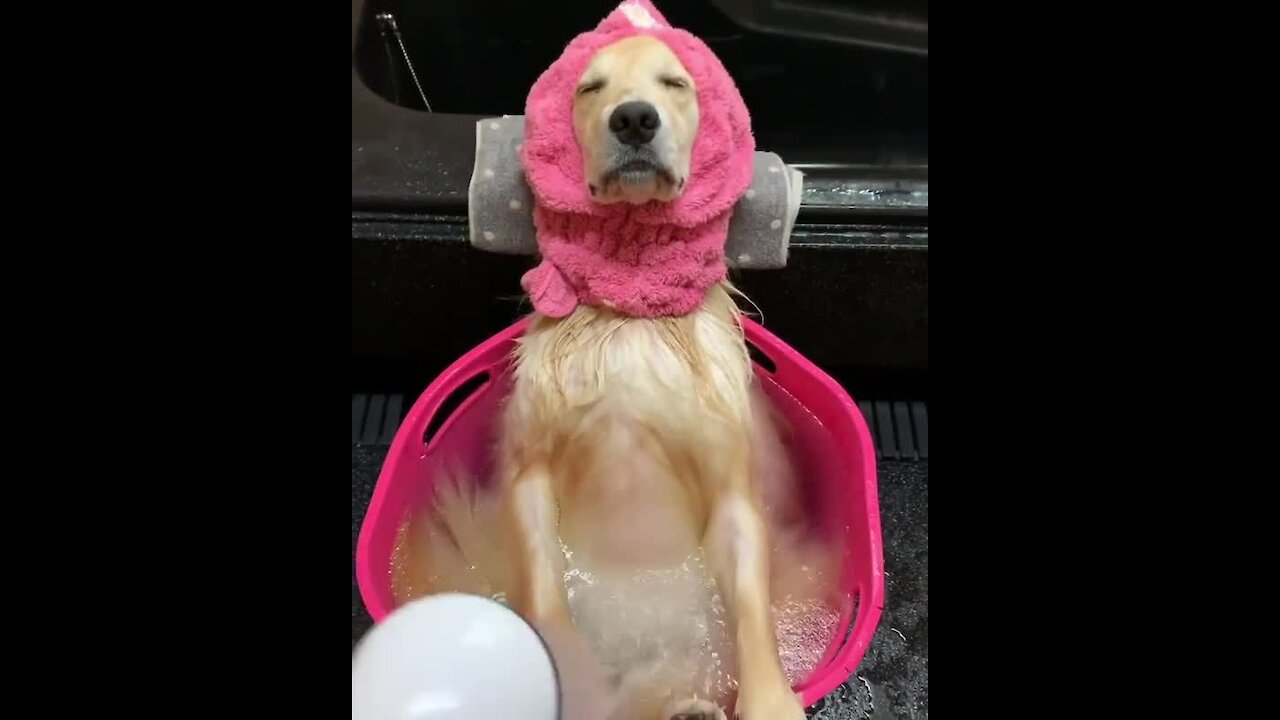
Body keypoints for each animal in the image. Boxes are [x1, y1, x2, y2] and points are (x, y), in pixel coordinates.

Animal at [394, 33, 834, 717]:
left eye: (675, 83)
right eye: (589, 87)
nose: (633, 119)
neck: (629, 311)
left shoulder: (730, 479)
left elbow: (751, 602)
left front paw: (770, 699)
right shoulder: (530, 472)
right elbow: (546, 594)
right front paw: (570, 679)